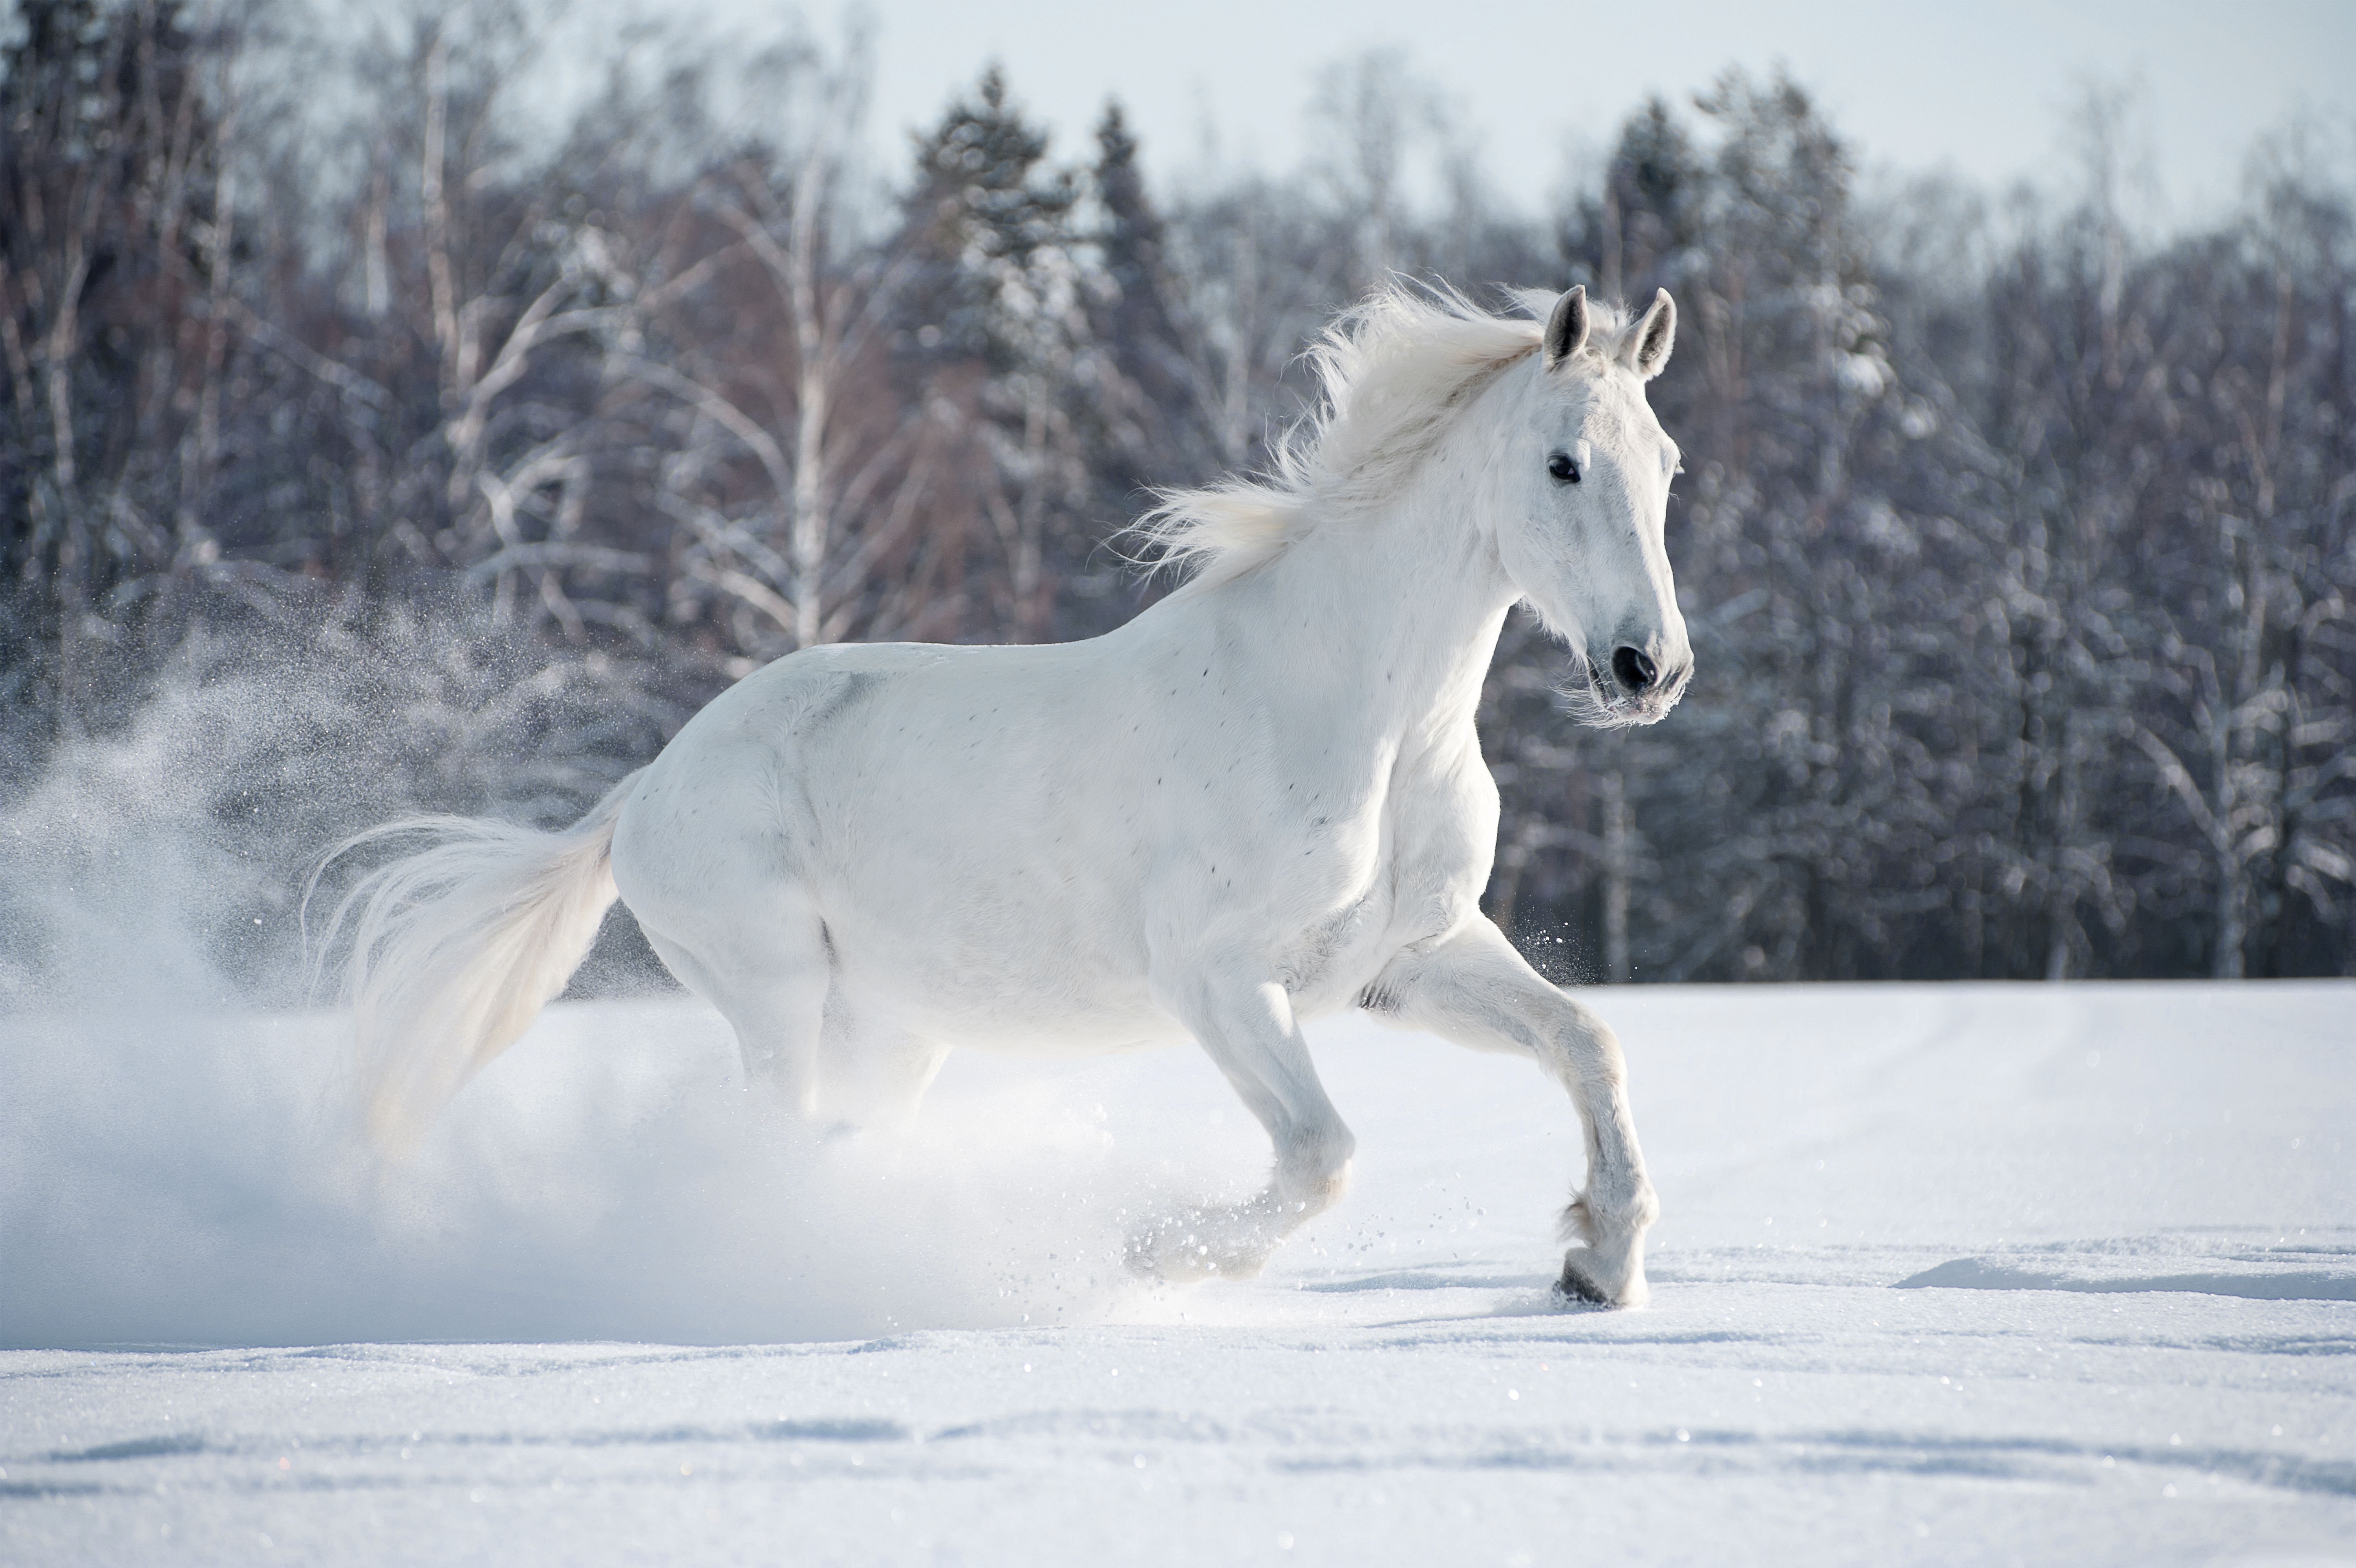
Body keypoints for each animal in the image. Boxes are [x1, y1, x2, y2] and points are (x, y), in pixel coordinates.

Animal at [320, 279, 1693, 1306]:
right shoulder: (1215, 975)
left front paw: (1596, 1264)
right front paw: (1156, 1251)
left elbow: (1590, 1043)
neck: (1363, 715)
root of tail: (648, 785)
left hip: (892, 1029)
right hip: (775, 994)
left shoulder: (1406, 959)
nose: (1649, 668)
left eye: (1668, 464)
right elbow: (1321, 1155)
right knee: (776, 1147)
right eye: (1564, 463)